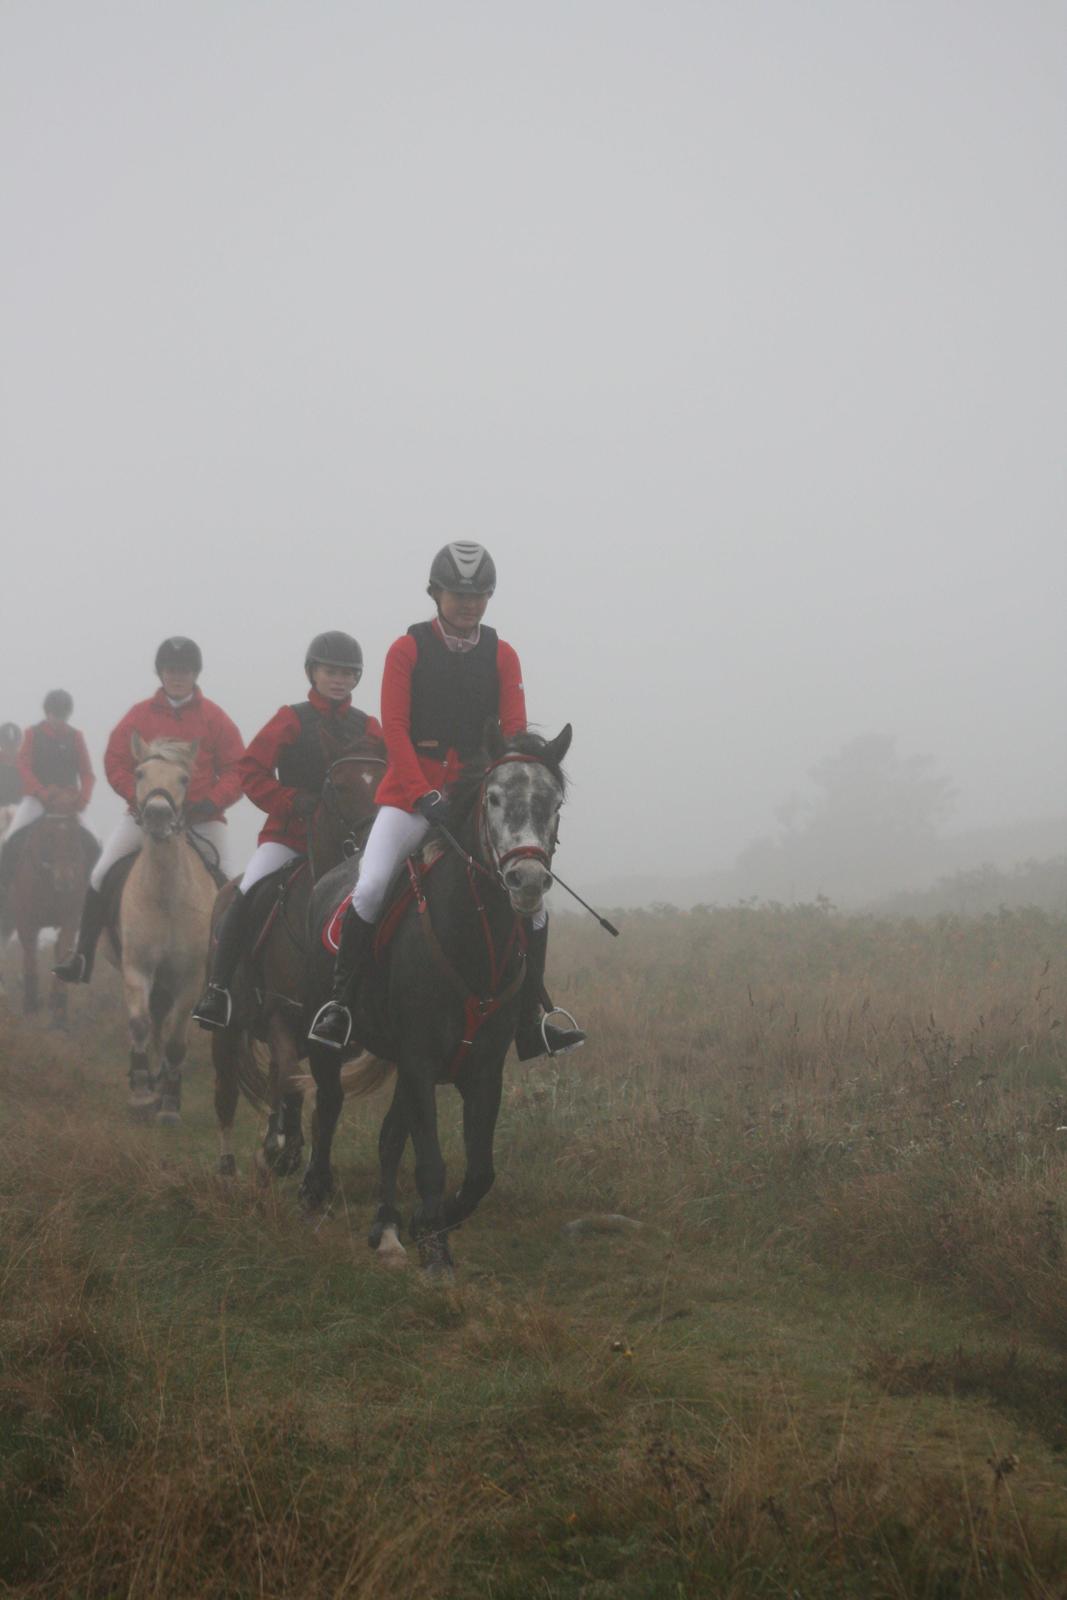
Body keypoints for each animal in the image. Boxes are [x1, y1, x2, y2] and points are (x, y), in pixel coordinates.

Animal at [1, 812, 97, 1024]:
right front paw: (30, 1007)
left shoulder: (69, 922)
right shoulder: (26, 923)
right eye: (48, 838)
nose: (66, 880)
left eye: (74, 840)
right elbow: (30, 959)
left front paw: (59, 1012)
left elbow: (61, 951)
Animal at [211, 732, 385, 1184]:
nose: (374, 845)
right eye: (338, 787)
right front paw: (283, 1149)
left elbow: (317, 1099)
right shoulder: (280, 1014)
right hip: (225, 1030)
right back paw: (228, 1168)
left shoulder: (335, 1036)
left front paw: (290, 1152)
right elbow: (291, 1080)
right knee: (226, 1092)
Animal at [300, 723, 572, 1273]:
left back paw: (386, 1229)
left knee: (388, 1137)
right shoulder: (421, 1062)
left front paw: (430, 1223)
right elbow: (430, 1161)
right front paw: (436, 1250)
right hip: (329, 1045)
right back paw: (316, 1194)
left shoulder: (482, 1068)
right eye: (493, 798)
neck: (473, 938)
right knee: (329, 1106)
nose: (527, 881)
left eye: (555, 803)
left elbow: (479, 1171)